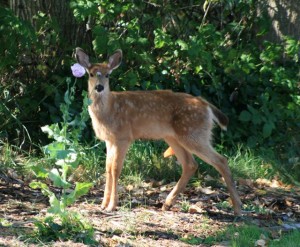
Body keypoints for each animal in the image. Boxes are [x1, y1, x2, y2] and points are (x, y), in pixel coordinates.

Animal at [75, 47, 241, 215]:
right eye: (91, 74)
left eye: (108, 75)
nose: (99, 87)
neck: (108, 110)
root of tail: (207, 105)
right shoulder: (109, 140)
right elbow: (108, 168)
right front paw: (103, 204)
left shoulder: (123, 136)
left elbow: (115, 169)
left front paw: (111, 206)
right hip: (174, 137)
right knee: (190, 164)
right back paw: (167, 203)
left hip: (194, 134)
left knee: (221, 160)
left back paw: (237, 208)